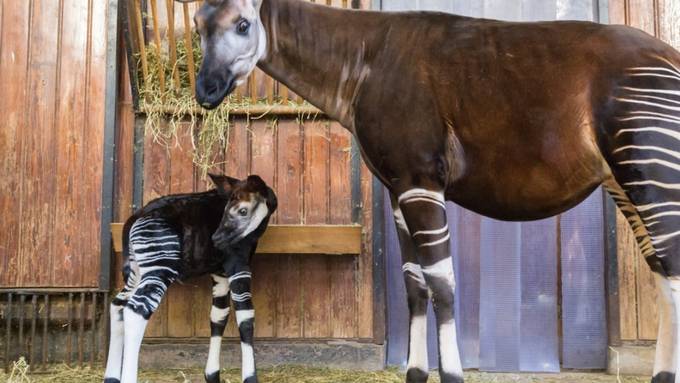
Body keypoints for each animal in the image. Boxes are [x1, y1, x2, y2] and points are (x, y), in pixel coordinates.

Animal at [103, 176, 276, 383]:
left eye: (242, 210)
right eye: (230, 209)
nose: (216, 239)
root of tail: (135, 217)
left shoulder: (219, 272)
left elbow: (218, 315)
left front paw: (212, 375)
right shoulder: (238, 264)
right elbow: (246, 317)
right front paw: (250, 377)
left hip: (138, 271)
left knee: (118, 305)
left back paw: (111, 377)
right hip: (160, 268)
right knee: (136, 311)